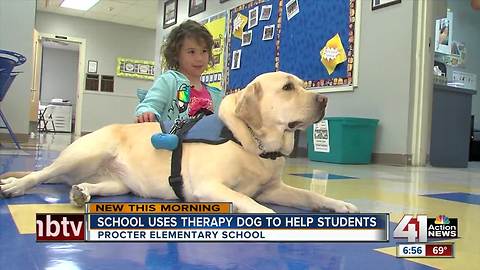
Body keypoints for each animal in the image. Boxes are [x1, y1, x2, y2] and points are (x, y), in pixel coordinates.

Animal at [0, 71, 356, 213]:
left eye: (303, 84)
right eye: (287, 88)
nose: (324, 99)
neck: (251, 144)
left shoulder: (274, 188)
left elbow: (309, 195)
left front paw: (338, 204)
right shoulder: (210, 187)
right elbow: (252, 203)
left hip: (119, 183)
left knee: (90, 184)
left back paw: (82, 192)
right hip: (85, 153)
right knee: (39, 175)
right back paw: (14, 187)